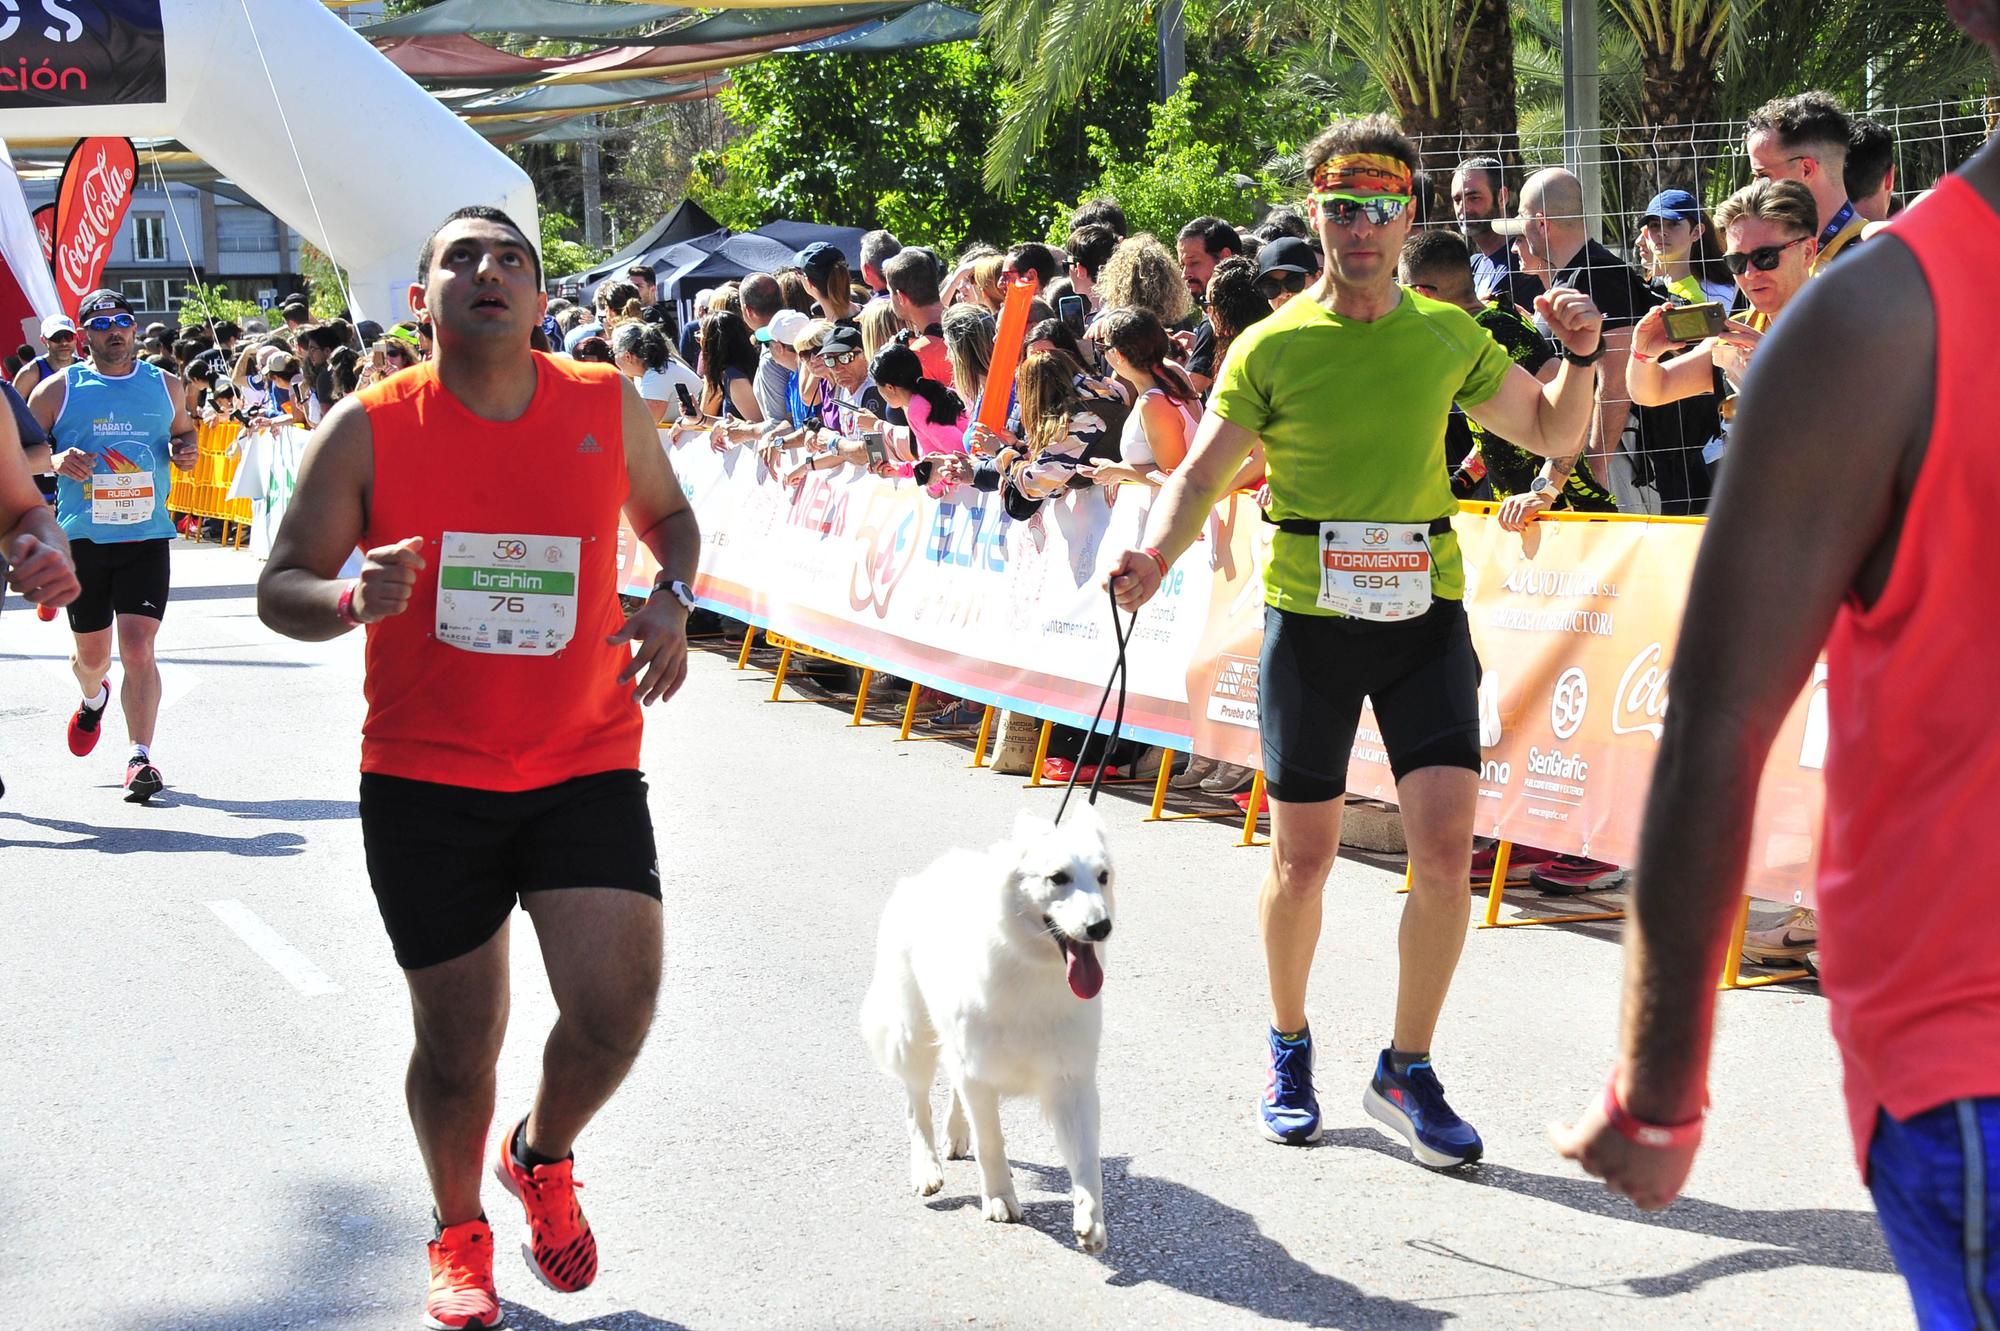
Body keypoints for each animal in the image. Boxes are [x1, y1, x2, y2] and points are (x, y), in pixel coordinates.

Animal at [856, 803, 1120, 1247]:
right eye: (1058, 878)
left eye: (1103, 877)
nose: (1101, 927)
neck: (1029, 971)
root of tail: (930, 872)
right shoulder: (978, 1074)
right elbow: (991, 1141)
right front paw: (998, 1197)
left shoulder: (1072, 1081)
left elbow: (1088, 1160)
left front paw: (1090, 1216)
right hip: (914, 1038)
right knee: (917, 1106)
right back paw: (927, 1167)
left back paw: (956, 1135)